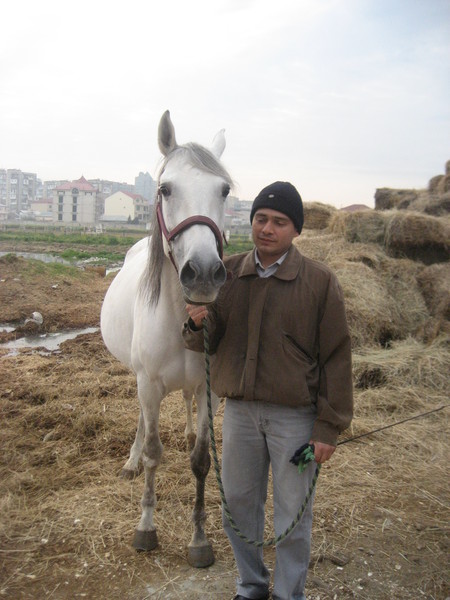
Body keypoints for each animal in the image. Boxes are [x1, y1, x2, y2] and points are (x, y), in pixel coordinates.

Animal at [100, 111, 230, 568]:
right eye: (165, 188)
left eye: (224, 190)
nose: (204, 273)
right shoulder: (149, 384)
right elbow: (156, 453)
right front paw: (146, 527)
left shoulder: (211, 389)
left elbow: (201, 460)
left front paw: (199, 538)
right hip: (139, 379)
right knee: (142, 421)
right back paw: (131, 460)